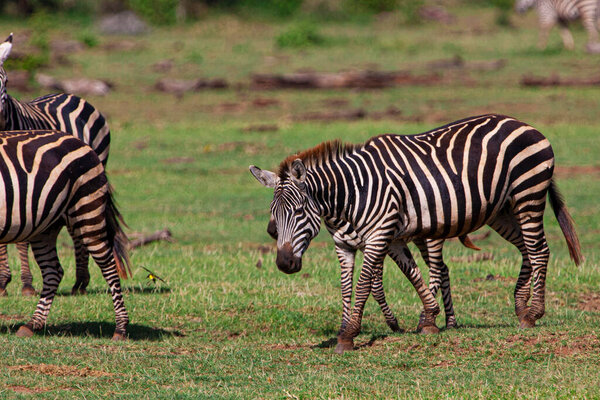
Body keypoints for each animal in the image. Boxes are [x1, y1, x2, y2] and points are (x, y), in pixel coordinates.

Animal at [0, 32, 110, 296]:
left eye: (6, 81)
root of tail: (67, 93)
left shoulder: (25, 186)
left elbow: (22, 237)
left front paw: (27, 284)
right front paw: (2, 283)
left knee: (77, 228)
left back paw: (80, 281)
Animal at [0, 129, 131, 340]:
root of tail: (81, 142)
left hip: (87, 211)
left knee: (109, 266)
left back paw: (121, 328)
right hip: (44, 227)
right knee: (53, 271)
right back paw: (32, 324)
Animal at [248, 113, 580, 354]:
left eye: (298, 212)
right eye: (273, 217)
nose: (284, 264)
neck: (350, 196)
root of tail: (525, 125)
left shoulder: (379, 236)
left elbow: (367, 284)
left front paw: (350, 335)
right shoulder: (350, 244)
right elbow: (363, 283)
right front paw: (427, 318)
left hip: (528, 195)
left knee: (539, 250)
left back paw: (533, 313)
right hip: (502, 210)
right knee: (527, 249)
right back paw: (520, 307)